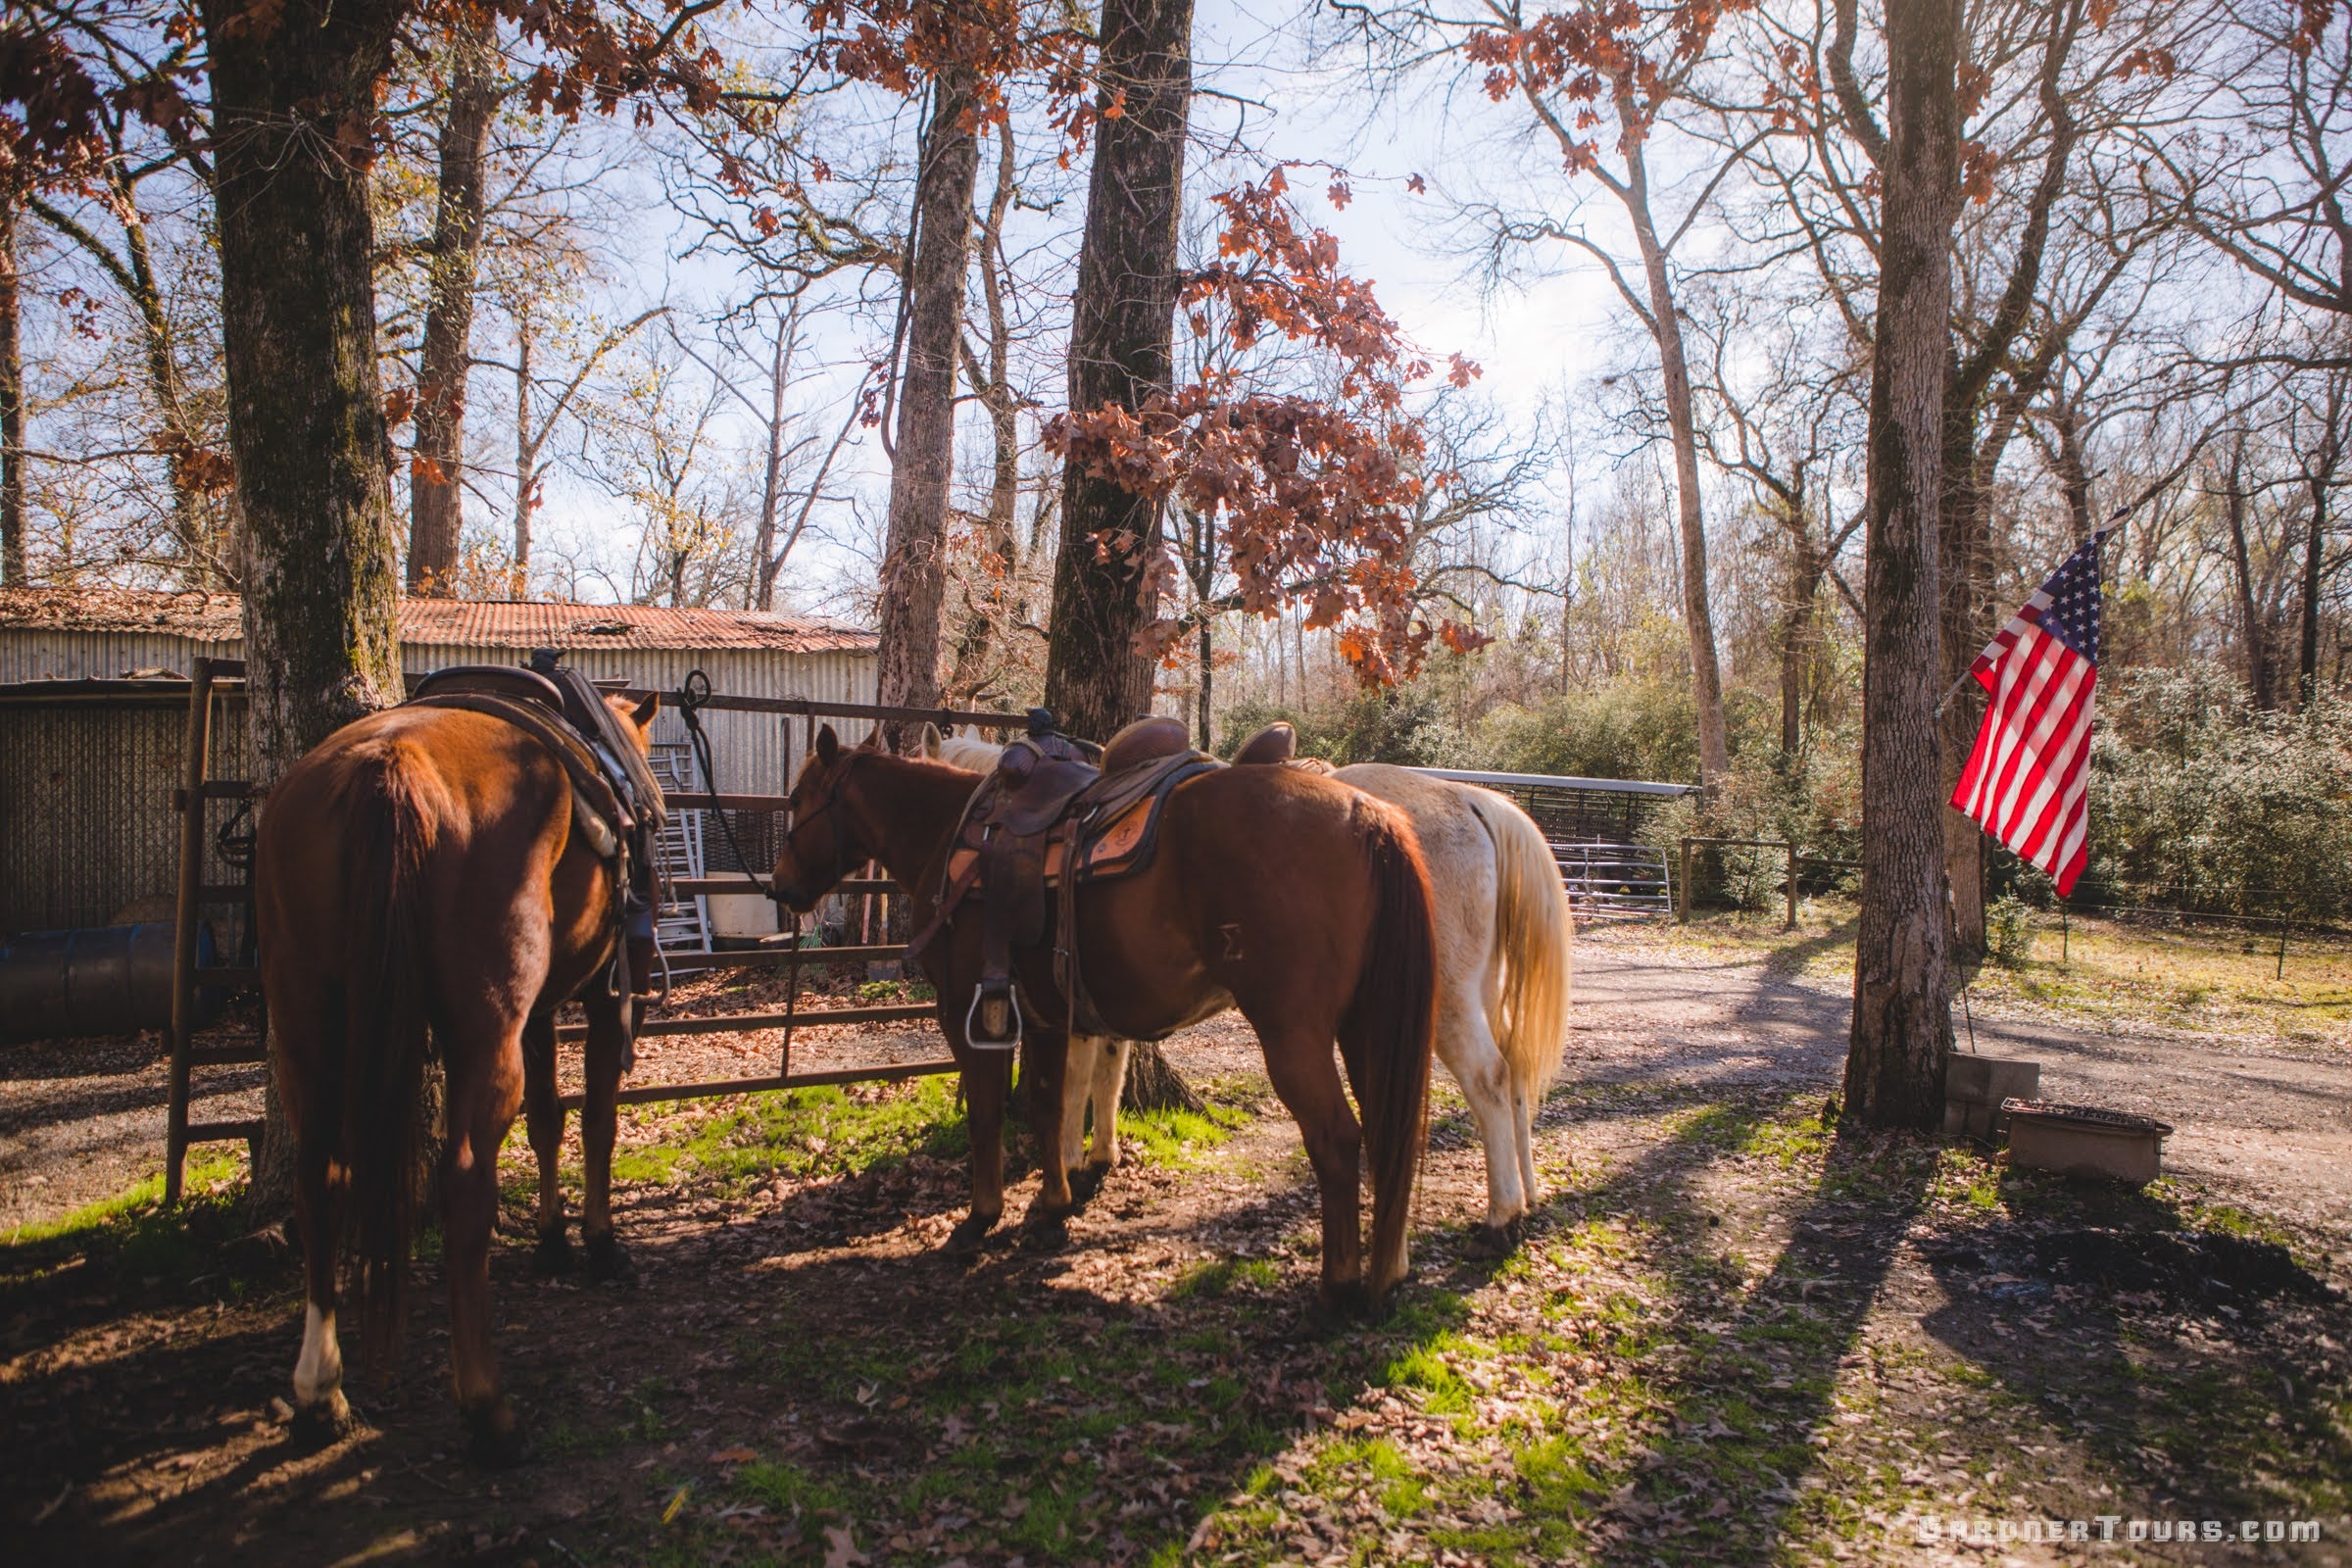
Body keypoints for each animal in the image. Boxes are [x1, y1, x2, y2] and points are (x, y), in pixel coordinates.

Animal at [252, 689, 660, 1466]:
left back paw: (321, 1393)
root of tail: (389, 762)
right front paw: (597, 1244)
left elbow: (548, 1118)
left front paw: (553, 1241)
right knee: (465, 1182)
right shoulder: (601, 997)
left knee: (320, 1182)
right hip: (482, 1030)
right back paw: (487, 1407)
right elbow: (596, 1119)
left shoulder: (540, 1011)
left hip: (308, 1025)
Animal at [770, 725, 1438, 1311]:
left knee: (1336, 1139)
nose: (780, 889)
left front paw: (980, 1219)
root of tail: (1364, 814)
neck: (953, 837)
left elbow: (988, 1114)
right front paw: (1051, 1207)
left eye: (797, 799)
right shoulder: (1042, 1016)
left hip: (1292, 1033)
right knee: (1385, 1131)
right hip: (1363, 1026)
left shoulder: (968, 1011)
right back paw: (1387, 1273)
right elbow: (1049, 1105)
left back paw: (1337, 1288)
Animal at [917, 733, 1575, 1246]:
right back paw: (1528, 1194)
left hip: (1448, 1000)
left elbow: (1077, 1081)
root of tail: (1471, 800)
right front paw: (1096, 1156)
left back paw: (1500, 1214)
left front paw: (1071, 1164)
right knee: (1515, 1071)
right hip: (1481, 987)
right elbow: (1106, 1074)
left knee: (1488, 1078)